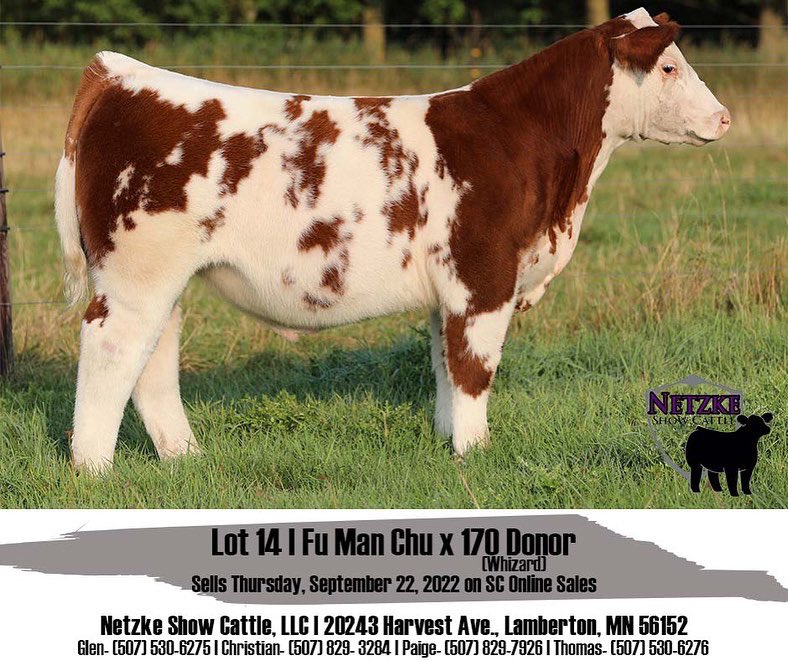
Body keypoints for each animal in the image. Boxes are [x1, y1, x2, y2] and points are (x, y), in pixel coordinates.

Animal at [55, 8, 731, 473]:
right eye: (669, 66)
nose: (723, 117)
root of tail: (119, 73)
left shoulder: (450, 291)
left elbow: (444, 365)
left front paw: (450, 442)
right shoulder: (484, 278)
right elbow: (475, 368)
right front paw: (477, 454)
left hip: (161, 280)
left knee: (154, 359)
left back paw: (185, 457)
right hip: (136, 275)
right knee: (111, 350)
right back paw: (94, 469)